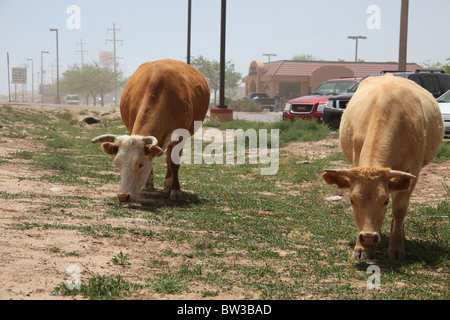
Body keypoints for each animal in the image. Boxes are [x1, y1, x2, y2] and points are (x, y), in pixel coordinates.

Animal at [92, 58, 211, 201]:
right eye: (117, 164)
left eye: (141, 164)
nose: (123, 196)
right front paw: (150, 183)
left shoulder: (180, 137)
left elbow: (174, 163)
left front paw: (175, 190)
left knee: (169, 159)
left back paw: (168, 185)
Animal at [324, 74, 442, 260]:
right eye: (352, 200)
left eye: (385, 200)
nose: (367, 237)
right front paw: (359, 247)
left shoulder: (412, 171)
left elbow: (399, 209)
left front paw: (397, 247)